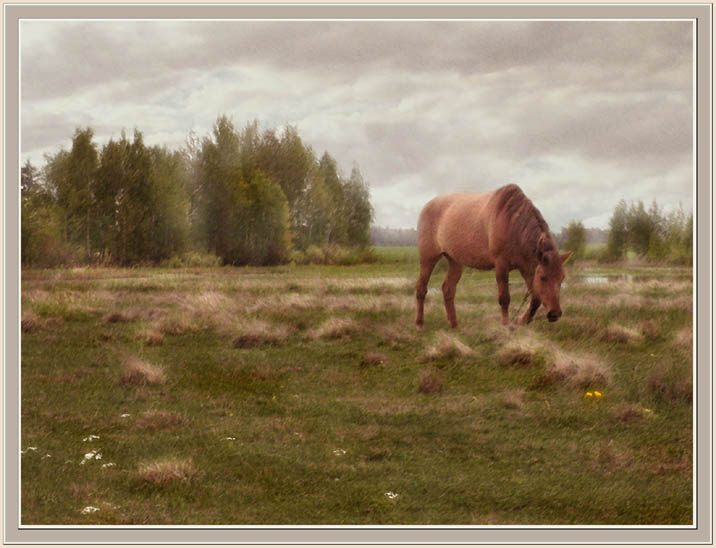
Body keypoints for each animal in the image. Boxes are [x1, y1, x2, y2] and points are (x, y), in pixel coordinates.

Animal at [414, 184, 572, 330]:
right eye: (543, 278)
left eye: (561, 279)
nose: (555, 313)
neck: (511, 222)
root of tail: (426, 206)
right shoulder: (501, 265)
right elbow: (505, 298)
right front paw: (506, 325)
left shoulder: (527, 268)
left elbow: (536, 299)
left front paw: (521, 321)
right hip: (428, 258)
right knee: (421, 288)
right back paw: (420, 324)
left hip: (455, 261)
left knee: (448, 289)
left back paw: (454, 325)